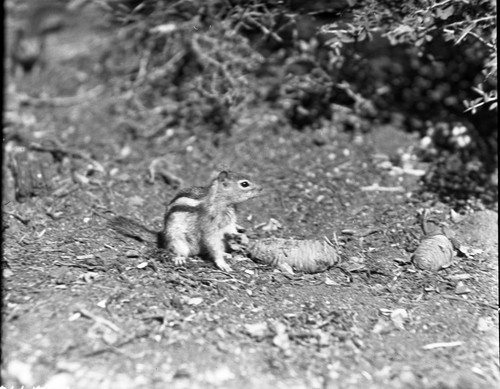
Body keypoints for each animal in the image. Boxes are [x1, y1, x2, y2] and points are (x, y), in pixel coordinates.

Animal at [110, 168, 266, 272]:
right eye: (244, 184)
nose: (261, 189)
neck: (222, 203)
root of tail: (162, 237)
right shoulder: (209, 226)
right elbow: (212, 243)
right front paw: (221, 263)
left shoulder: (228, 221)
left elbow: (230, 229)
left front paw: (242, 237)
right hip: (178, 241)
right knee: (181, 251)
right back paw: (180, 258)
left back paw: (227, 252)